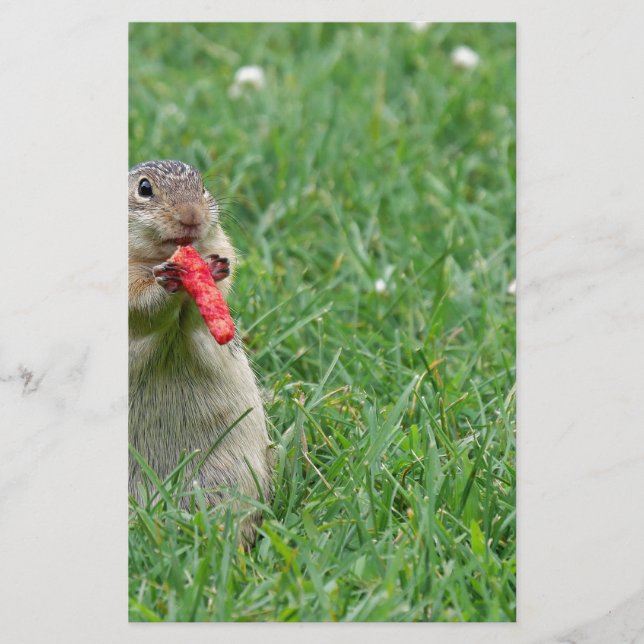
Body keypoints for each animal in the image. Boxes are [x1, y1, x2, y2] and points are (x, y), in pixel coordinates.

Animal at [128, 159, 273, 544]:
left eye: (203, 186)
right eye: (144, 189)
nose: (192, 215)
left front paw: (215, 268)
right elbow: (142, 304)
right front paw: (166, 282)